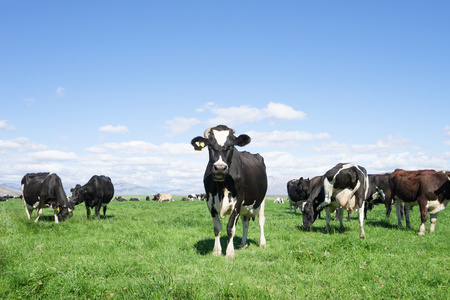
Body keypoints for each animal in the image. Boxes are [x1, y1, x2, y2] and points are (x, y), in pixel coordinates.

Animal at [190, 124, 268, 258]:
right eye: (210, 146)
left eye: (231, 146)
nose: (220, 168)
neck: (221, 188)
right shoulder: (210, 202)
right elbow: (217, 228)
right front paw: (216, 251)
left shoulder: (237, 202)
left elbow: (230, 228)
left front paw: (230, 253)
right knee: (245, 222)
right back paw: (243, 244)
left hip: (261, 200)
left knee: (260, 220)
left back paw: (262, 243)